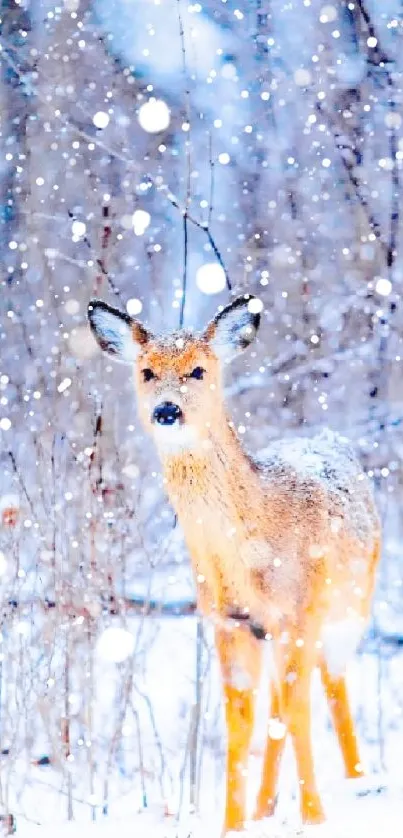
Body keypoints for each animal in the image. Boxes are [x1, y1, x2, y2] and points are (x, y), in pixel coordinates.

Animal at [88, 294, 382, 832]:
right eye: (146, 371)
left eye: (199, 370)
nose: (167, 410)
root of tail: (330, 438)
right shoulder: (231, 621)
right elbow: (240, 723)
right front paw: (233, 825)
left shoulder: (298, 610)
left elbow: (299, 709)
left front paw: (315, 819)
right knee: (280, 705)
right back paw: (266, 806)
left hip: (350, 606)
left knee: (330, 685)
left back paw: (358, 781)